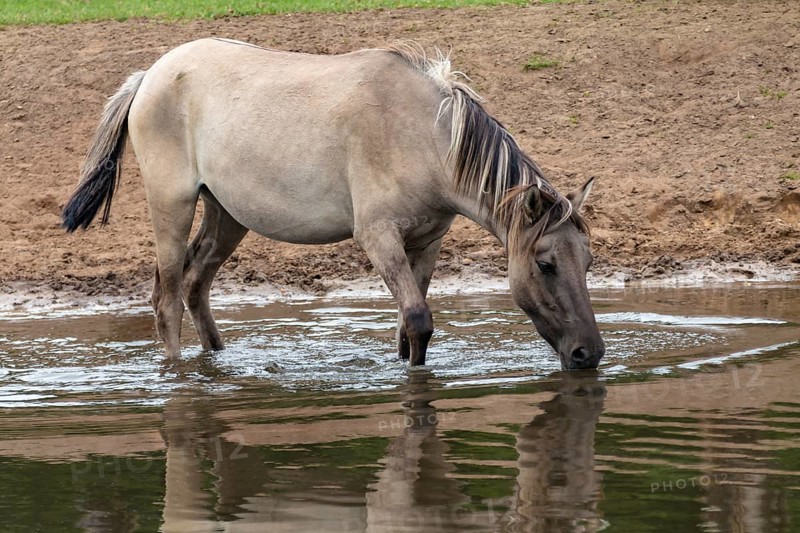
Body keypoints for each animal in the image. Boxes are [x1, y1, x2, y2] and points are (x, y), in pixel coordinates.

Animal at [62, 39, 605, 370]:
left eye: (589, 262)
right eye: (545, 264)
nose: (590, 354)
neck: (423, 134)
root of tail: (149, 75)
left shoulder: (426, 242)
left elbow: (407, 329)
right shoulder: (378, 237)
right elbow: (418, 320)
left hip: (227, 215)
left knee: (196, 285)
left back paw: (219, 363)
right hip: (171, 206)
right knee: (169, 299)